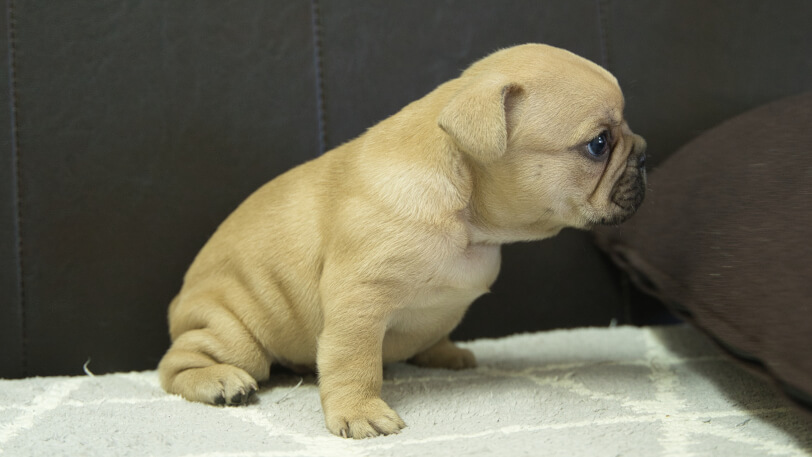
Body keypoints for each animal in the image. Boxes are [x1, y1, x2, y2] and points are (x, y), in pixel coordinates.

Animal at [159, 43, 648, 438]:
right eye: (599, 143)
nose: (644, 153)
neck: (467, 218)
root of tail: (179, 304)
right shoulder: (358, 300)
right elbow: (353, 362)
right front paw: (358, 412)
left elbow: (432, 327)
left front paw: (443, 351)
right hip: (234, 328)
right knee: (178, 363)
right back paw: (219, 381)